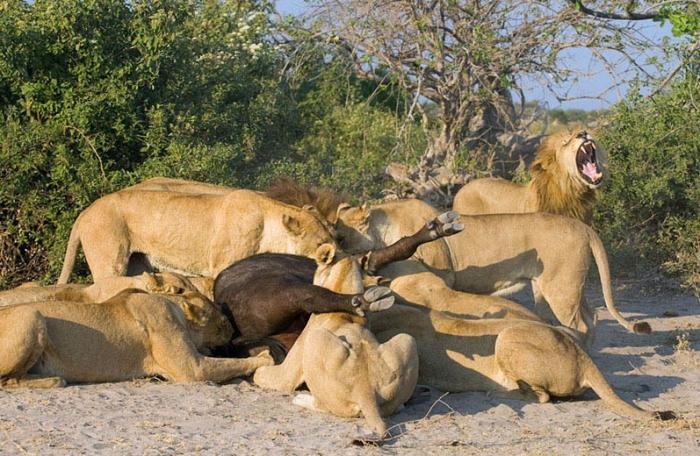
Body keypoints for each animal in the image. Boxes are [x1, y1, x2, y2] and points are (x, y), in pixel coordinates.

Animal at [0, 290, 274, 386]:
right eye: (224, 322)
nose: (233, 331)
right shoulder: (193, 369)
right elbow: (228, 364)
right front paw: (266, 358)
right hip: (31, 314)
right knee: (7, 381)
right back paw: (54, 380)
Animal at [58, 187, 338, 284]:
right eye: (321, 244)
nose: (333, 255)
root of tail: (85, 211)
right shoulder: (222, 266)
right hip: (110, 261)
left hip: (137, 263)